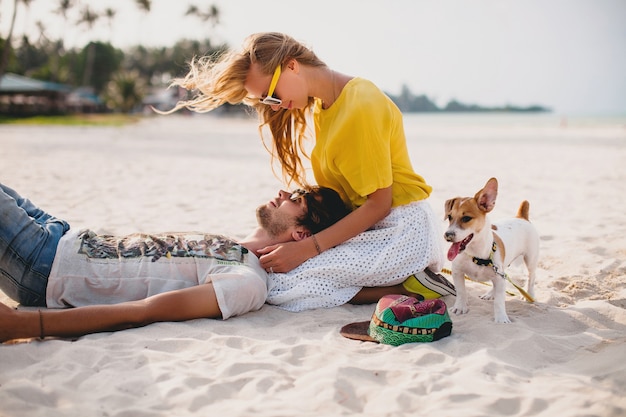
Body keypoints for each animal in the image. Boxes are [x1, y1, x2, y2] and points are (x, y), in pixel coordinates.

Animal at [444, 176, 536, 322]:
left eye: (466, 218)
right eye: (449, 217)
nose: (447, 235)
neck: (475, 254)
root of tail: (521, 217)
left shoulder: (499, 277)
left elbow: (499, 301)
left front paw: (501, 318)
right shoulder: (457, 272)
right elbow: (461, 291)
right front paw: (460, 307)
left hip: (530, 259)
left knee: (531, 277)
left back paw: (529, 294)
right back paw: (490, 293)